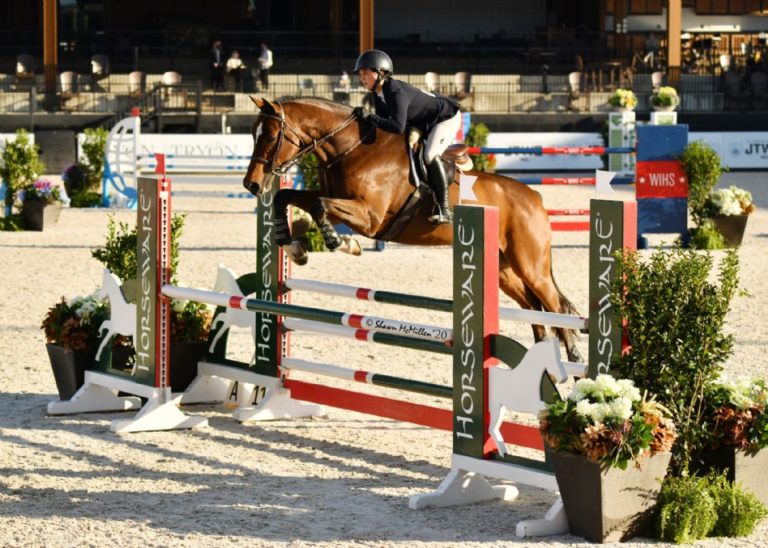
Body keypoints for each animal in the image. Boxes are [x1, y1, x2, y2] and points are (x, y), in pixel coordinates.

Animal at [243, 97, 584, 364]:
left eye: (271, 136)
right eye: (253, 133)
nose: (252, 184)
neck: (351, 148)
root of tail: (535, 198)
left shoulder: (370, 217)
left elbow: (319, 206)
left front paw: (340, 242)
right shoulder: (338, 199)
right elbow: (289, 198)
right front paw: (294, 247)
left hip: (531, 265)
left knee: (554, 306)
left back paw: (574, 361)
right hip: (505, 270)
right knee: (534, 307)